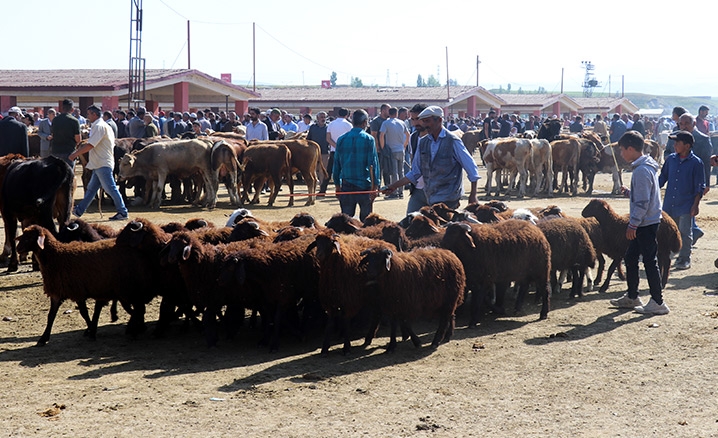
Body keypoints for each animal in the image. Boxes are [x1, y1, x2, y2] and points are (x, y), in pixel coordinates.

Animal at [14, 226, 162, 346]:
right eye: (23, 235)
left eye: (30, 237)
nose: (17, 248)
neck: (56, 256)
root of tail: (140, 254)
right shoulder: (57, 292)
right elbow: (51, 316)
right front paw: (43, 338)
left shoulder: (77, 291)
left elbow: (84, 313)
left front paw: (91, 329)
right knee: (137, 308)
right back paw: (137, 326)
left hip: (128, 288)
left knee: (138, 308)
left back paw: (136, 328)